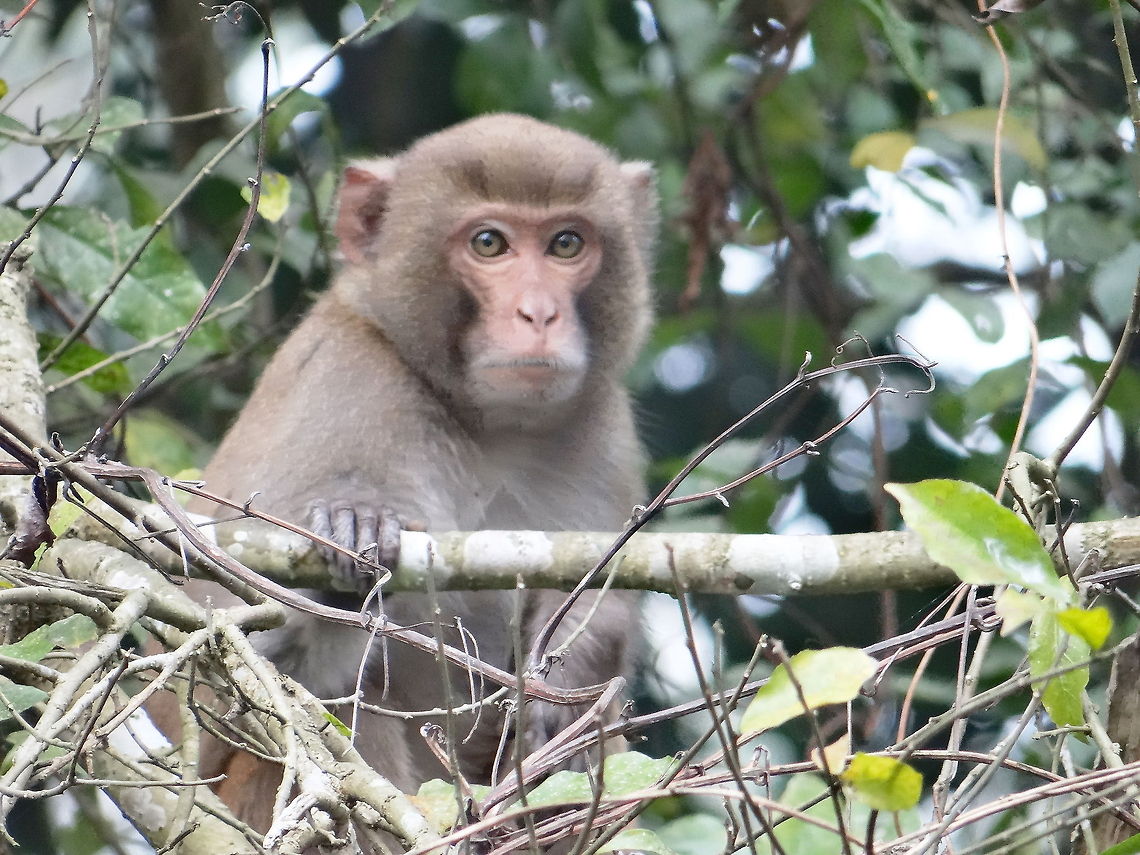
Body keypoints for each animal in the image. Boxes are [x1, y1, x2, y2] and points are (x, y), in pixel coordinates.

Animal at [168, 114, 657, 834]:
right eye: (490, 243)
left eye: (566, 243)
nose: (539, 313)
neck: (488, 425)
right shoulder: (342, 384)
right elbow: (226, 681)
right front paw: (352, 540)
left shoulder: (604, 432)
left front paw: (576, 669)